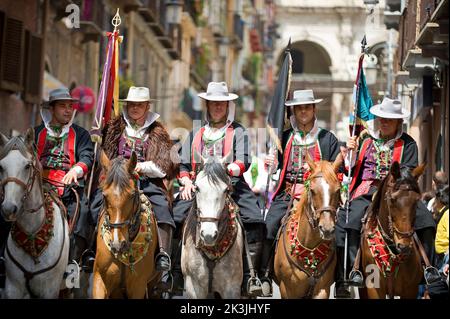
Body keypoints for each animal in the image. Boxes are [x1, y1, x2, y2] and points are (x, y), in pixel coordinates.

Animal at [272, 154, 342, 298]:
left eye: (338, 190)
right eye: (313, 190)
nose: (327, 229)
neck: (309, 252)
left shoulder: (322, 289)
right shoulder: (287, 290)